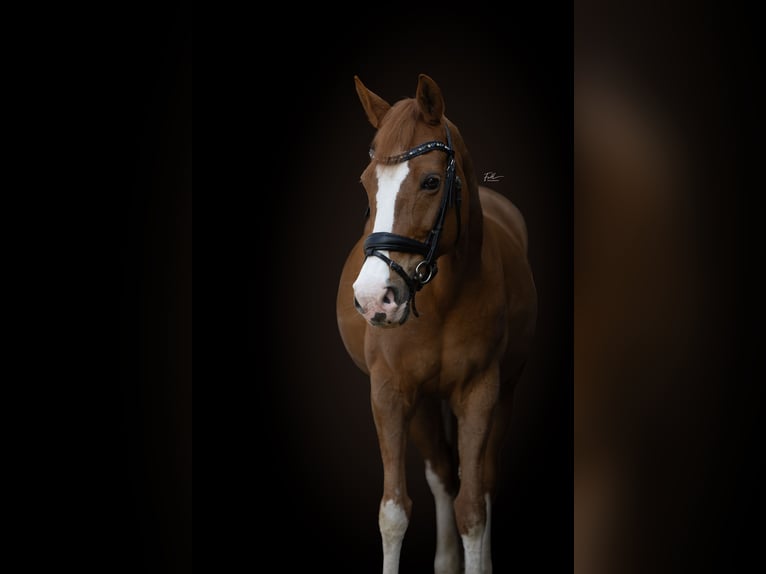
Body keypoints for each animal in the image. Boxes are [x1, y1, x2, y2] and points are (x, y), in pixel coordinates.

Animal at [336, 73, 537, 574]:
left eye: (430, 181)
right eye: (367, 183)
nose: (374, 299)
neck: (443, 301)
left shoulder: (481, 392)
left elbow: (474, 508)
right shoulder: (389, 393)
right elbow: (393, 511)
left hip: (504, 392)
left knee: (483, 480)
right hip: (425, 401)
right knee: (444, 473)